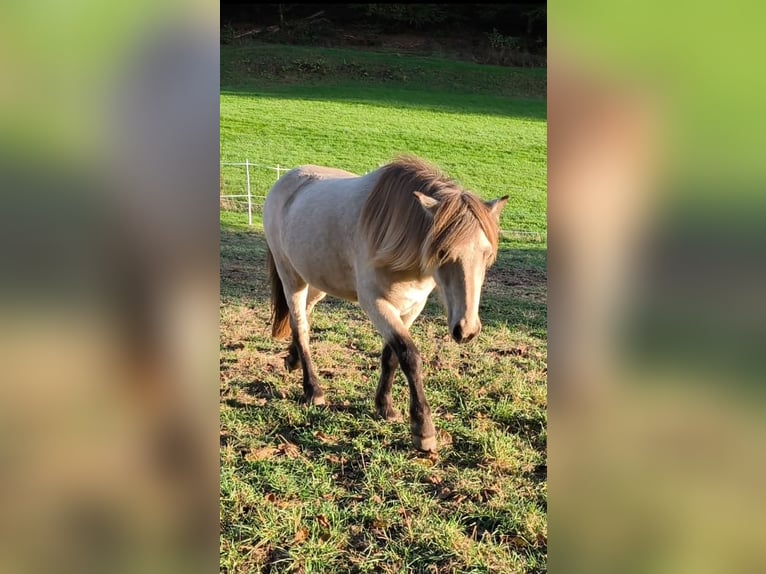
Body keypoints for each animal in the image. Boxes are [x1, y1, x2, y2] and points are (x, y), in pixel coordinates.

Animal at [263, 156, 507, 452]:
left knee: (303, 317)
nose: (467, 330)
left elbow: (391, 356)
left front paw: (385, 407)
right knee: (301, 326)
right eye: (442, 251)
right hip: (291, 276)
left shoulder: (412, 306)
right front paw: (423, 429)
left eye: (486, 254)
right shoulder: (375, 303)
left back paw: (293, 360)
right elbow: (409, 355)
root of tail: (284, 180)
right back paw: (313, 390)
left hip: (316, 281)